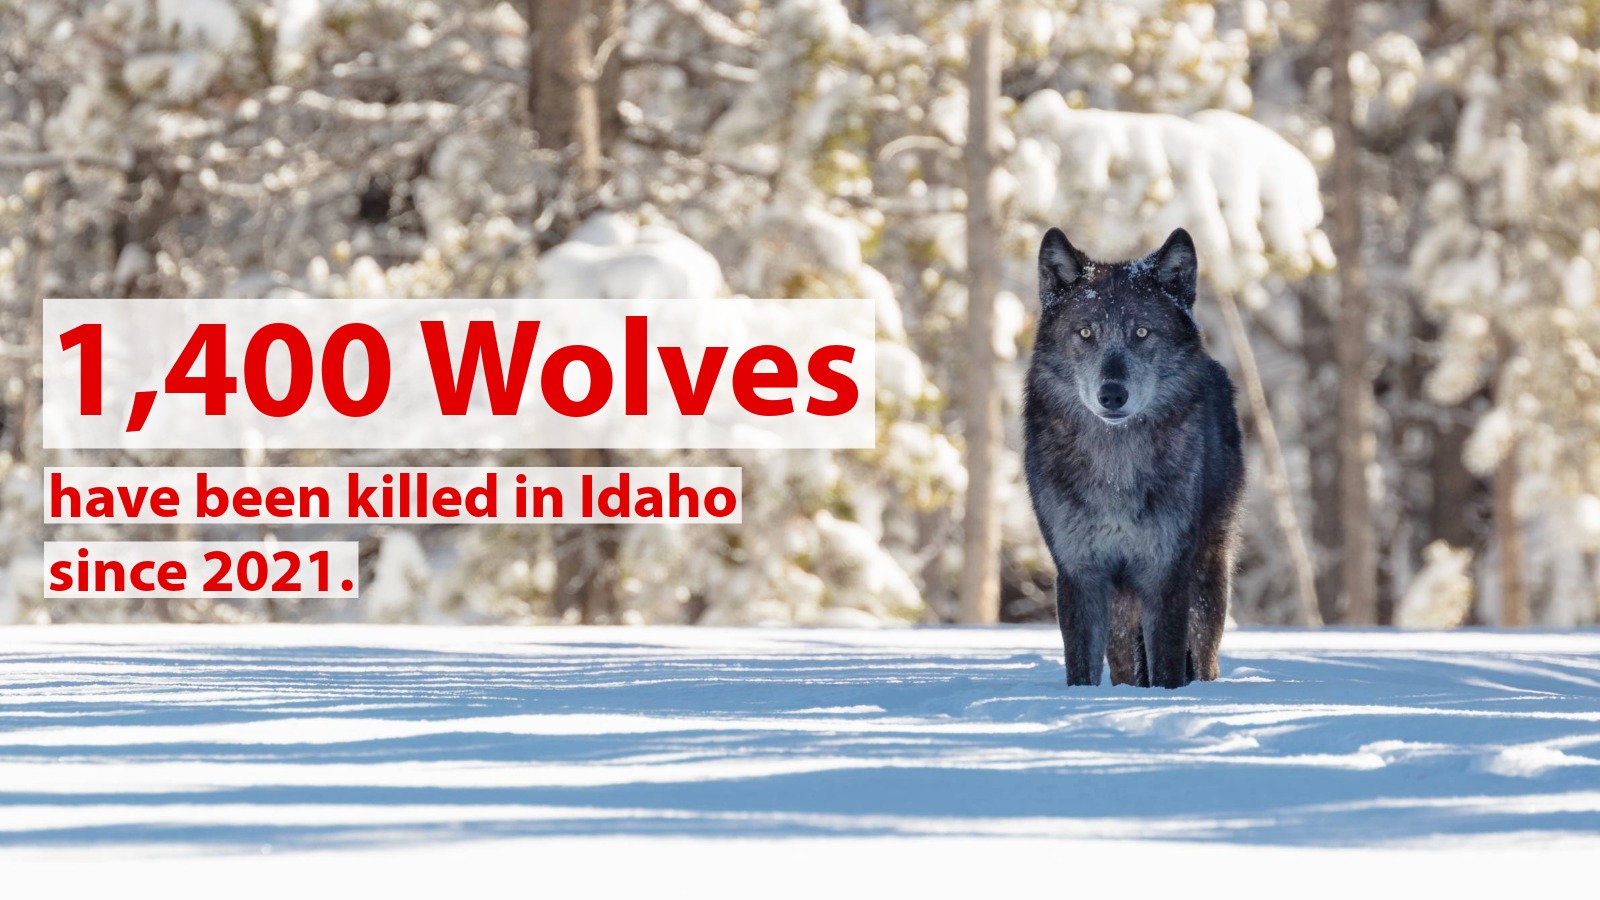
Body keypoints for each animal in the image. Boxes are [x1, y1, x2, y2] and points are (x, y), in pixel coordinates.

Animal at [1023, 227, 1244, 689]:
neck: (1116, 470)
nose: (1112, 394)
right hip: (1123, 608)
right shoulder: (1081, 574)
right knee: (1125, 664)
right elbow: (1081, 670)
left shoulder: (1166, 574)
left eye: (1142, 332)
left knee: (1205, 657)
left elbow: (1167, 668)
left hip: (1207, 579)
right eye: (1085, 333)